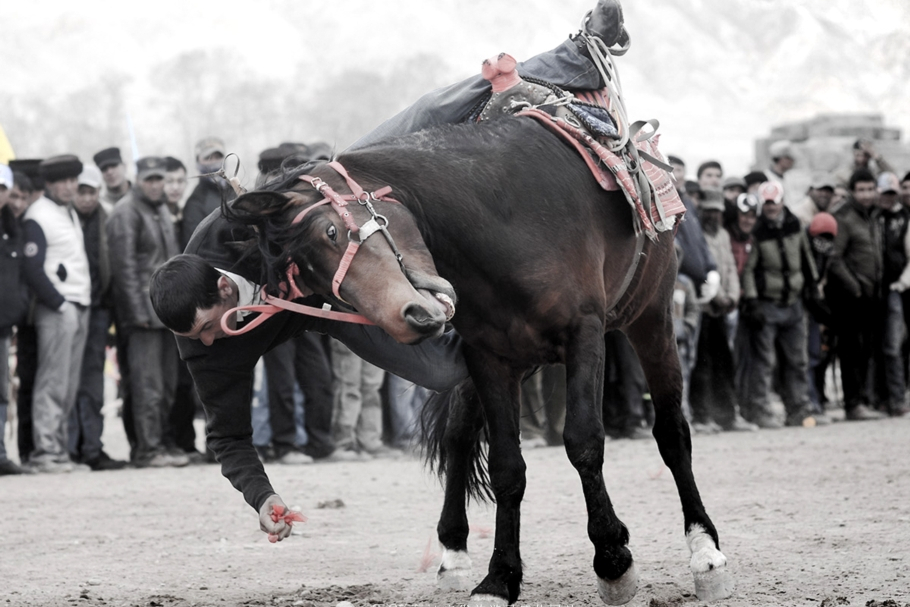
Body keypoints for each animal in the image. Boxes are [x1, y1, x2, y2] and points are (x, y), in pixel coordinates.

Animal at [227, 115, 734, 606]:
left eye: (332, 232)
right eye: (306, 278)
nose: (411, 318)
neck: (503, 217)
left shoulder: (585, 335)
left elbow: (584, 441)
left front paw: (613, 560)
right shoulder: (488, 356)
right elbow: (506, 466)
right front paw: (499, 578)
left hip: (651, 317)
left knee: (671, 431)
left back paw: (705, 551)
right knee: (459, 437)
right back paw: (453, 551)